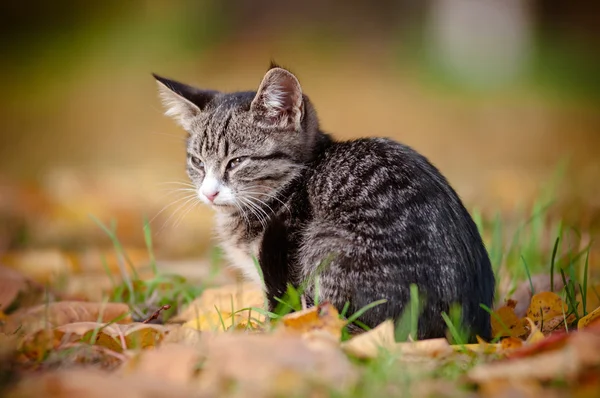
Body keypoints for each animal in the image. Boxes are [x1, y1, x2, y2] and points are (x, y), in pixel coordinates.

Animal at [154, 63, 492, 340]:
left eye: (237, 161)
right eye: (197, 162)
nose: (209, 192)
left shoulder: (280, 263)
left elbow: (283, 313)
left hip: (324, 246)